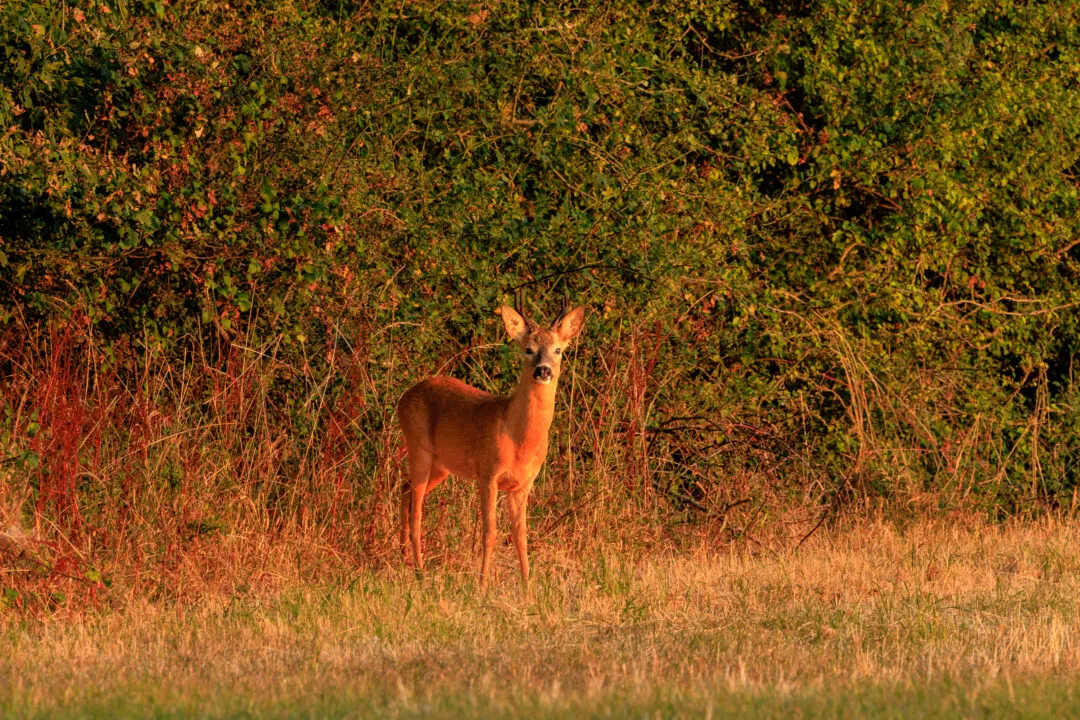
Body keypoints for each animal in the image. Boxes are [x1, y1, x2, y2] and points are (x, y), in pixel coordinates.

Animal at [395, 295, 586, 594]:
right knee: (417, 510)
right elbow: (490, 532)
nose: (543, 370)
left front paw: (528, 589)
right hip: (418, 448)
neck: (519, 440)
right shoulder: (488, 473)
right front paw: (482, 585)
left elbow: (521, 535)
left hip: (441, 465)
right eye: (528, 349)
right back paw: (420, 572)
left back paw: (404, 558)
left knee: (405, 490)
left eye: (558, 349)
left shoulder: (523, 484)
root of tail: (404, 396)